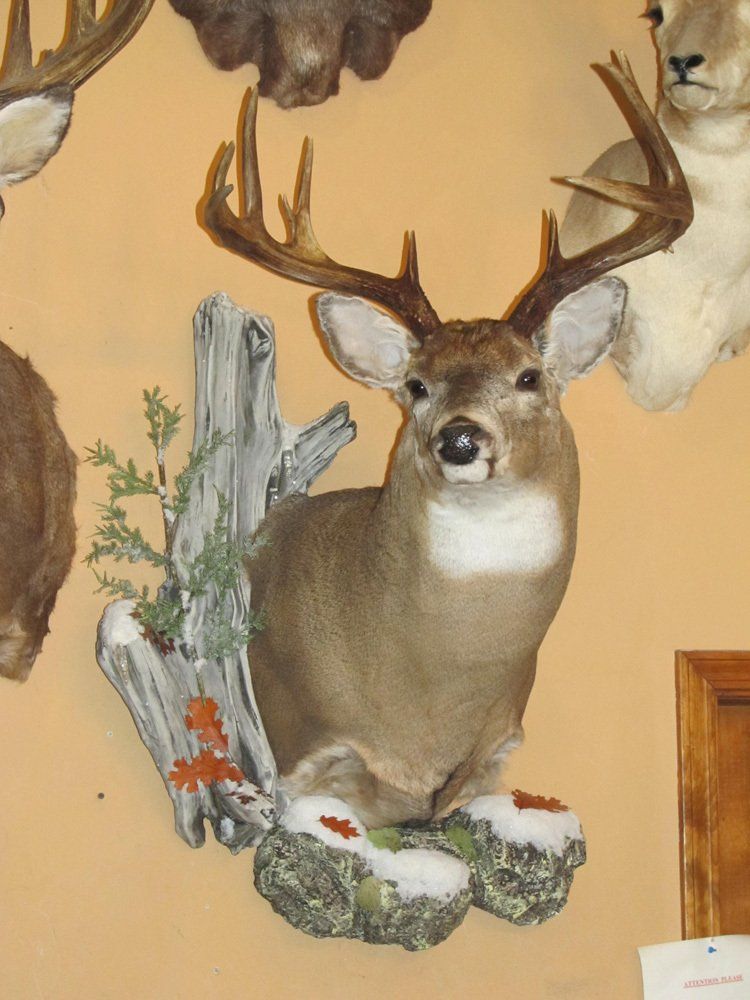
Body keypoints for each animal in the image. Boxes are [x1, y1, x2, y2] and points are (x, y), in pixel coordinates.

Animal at [201, 55, 692, 828]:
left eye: (528, 376)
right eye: (417, 384)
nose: (460, 440)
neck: (432, 698)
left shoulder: (496, 747)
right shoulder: (294, 725)